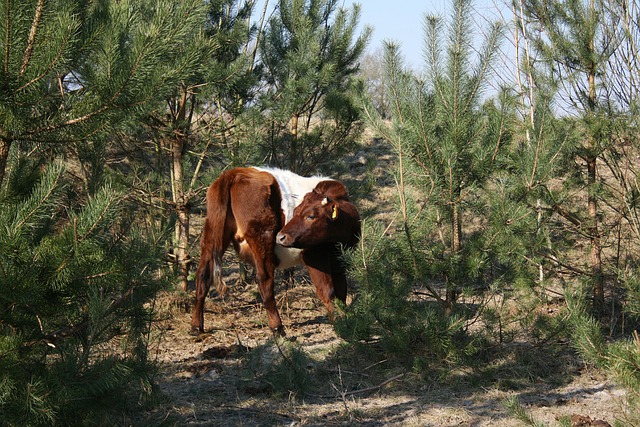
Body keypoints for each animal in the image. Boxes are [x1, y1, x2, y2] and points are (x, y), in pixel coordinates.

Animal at [190, 168, 360, 338]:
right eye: (296, 212)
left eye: (310, 216)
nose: (281, 237)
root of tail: (235, 172)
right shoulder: (315, 256)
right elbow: (327, 290)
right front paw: (338, 322)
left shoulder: (339, 261)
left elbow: (341, 288)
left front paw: (346, 317)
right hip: (261, 239)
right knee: (264, 280)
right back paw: (277, 327)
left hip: (211, 235)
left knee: (203, 275)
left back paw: (196, 327)